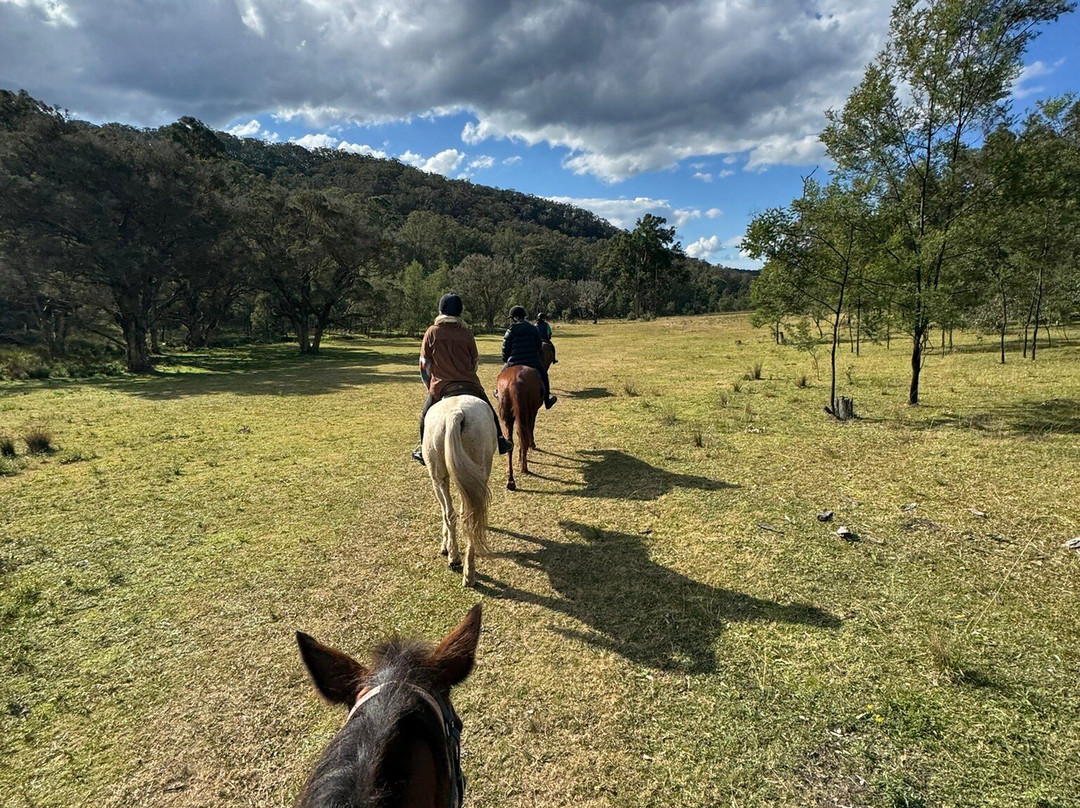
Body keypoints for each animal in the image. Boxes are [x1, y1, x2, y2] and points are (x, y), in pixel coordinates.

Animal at [421, 394, 495, 587]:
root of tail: (455, 414)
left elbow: (446, 512)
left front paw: (445, 545)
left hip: (439, 477)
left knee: (454, 514)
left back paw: (457, 561)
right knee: (467, 517)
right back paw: (466, 570)